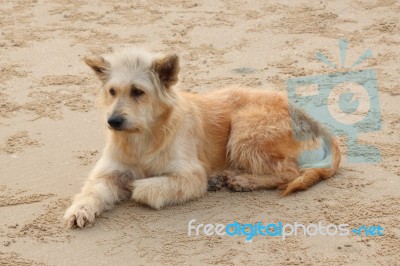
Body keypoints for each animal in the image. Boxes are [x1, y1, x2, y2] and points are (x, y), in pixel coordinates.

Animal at [63, 48, 340, 229]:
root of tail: (309, 116)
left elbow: (145, 188)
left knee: (289, 172)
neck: (143, 138)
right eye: (112, 91)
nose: (113, 122)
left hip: (245, 130)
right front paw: (80, 210)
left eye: (138, 92)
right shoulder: (108, 172)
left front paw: (135, 186)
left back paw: (244, 180)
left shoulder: (190, 176)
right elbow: (93, 190)